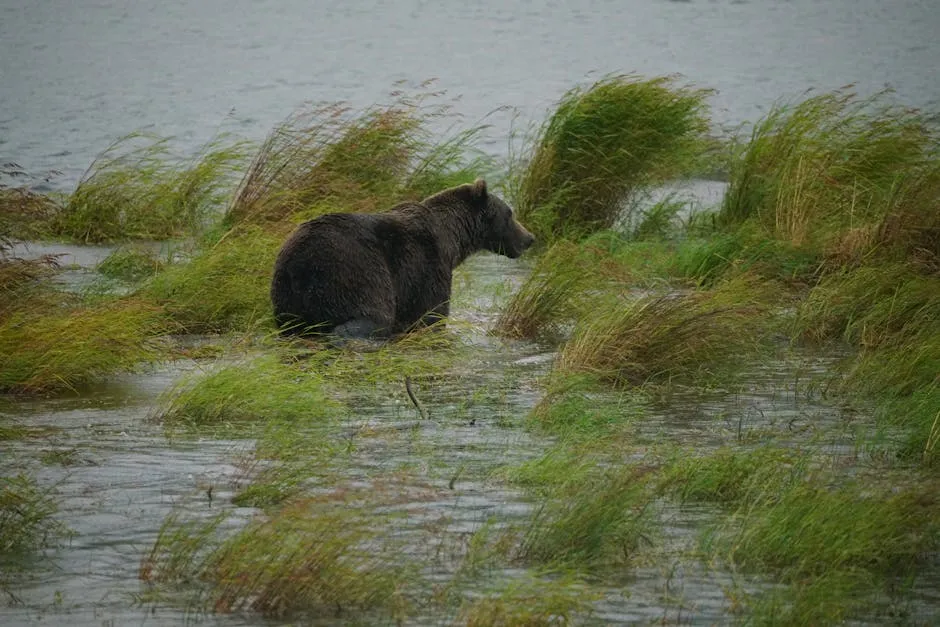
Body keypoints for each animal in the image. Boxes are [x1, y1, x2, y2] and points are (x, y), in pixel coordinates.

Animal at [270, 179, 535, 338]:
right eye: (510, 214)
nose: (529, 238)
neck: (453, 238)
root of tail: (301, 263)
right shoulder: (427, 265)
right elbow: (431, 314)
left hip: (286, 293)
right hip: (353, 272)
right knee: (370, 317)